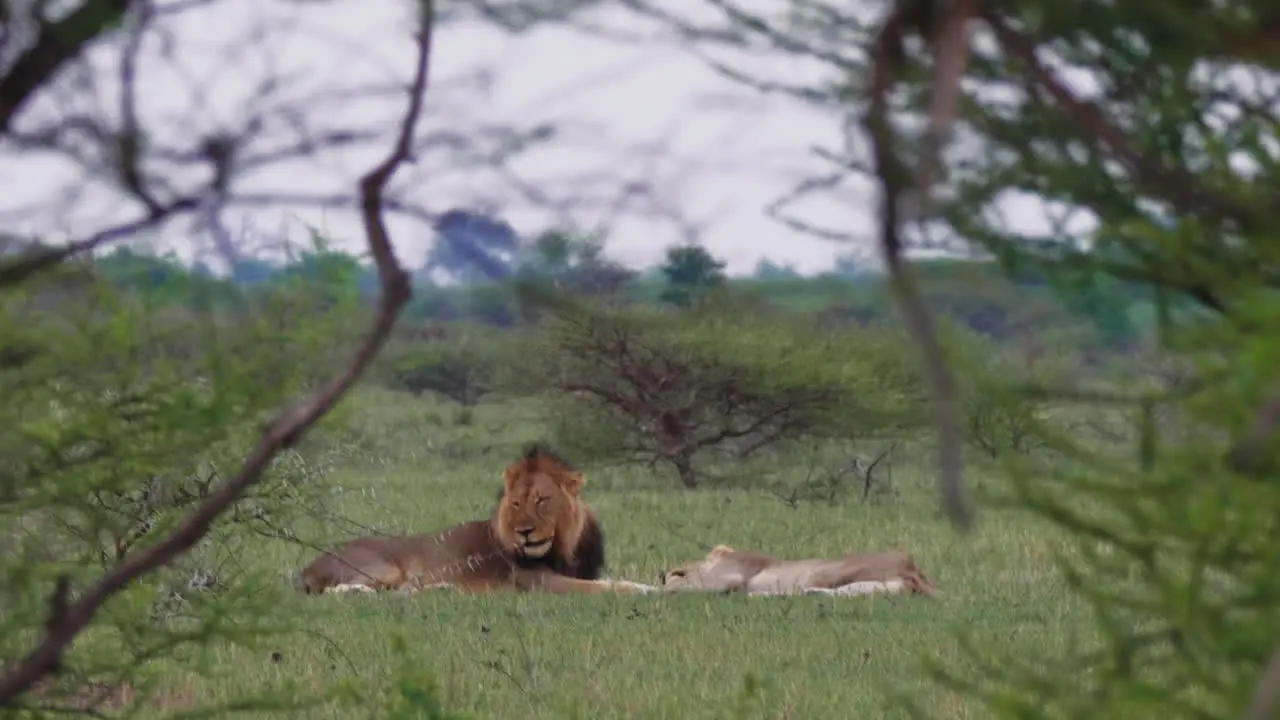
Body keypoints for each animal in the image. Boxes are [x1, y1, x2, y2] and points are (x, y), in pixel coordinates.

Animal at [298, 443, 655, 594]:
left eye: (541, 500)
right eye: (515, 503)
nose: (524, 532)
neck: (565, 545)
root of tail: (307, 567)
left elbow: (610, 581)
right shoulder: (537, 581)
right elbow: (611, 588)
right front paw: (650, 591)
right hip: (382, 568)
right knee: (339, 591)